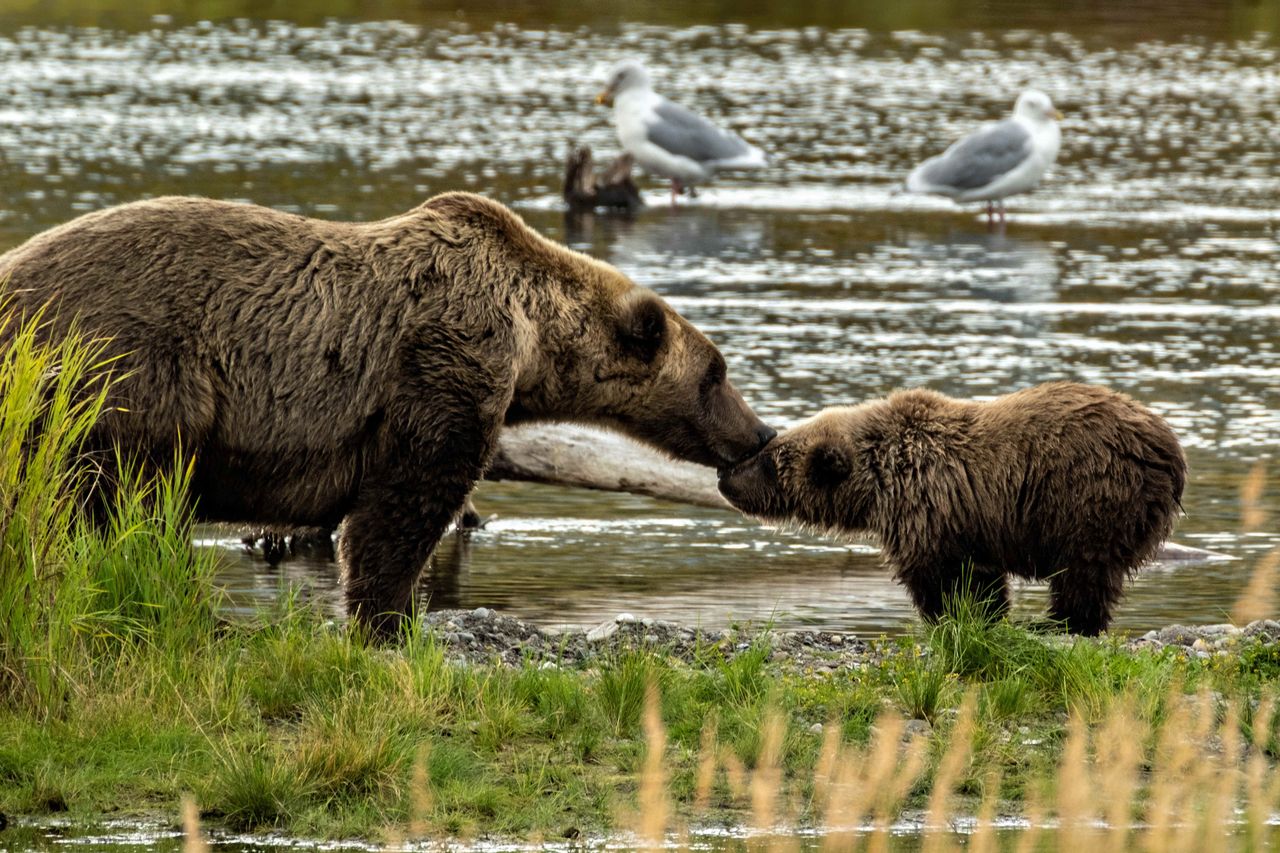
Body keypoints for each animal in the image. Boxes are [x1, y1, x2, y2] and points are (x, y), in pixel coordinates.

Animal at [0, 190, 768, 630]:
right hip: (120, 370)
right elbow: (402, 506)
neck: (531, 339)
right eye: (717, 373)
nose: (759, 432)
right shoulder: (444, 361)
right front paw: (389, 615)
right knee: (106, 495)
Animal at [727, 381, 1182, 635]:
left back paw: (1060, 622)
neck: (877, 480)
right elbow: (982, 578)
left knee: (1084, 569)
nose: (726, 477)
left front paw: (946, 616)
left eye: (769, 460)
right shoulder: (971, 522)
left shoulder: (928, 509)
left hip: (1090, 493)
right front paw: (986, 616)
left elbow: (936, 575)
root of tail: (1169, 447)